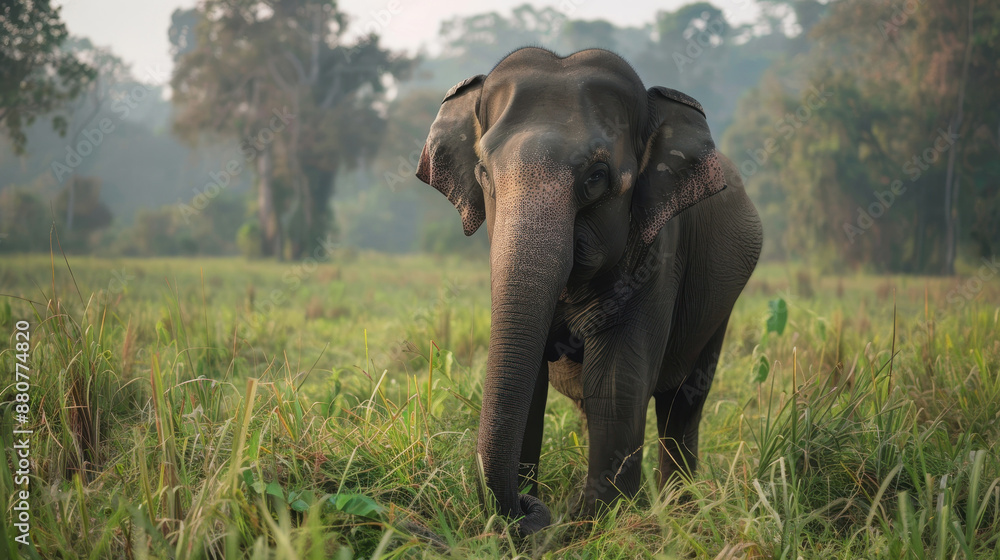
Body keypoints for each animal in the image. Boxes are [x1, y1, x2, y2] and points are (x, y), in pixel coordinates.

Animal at [415, 47, 762, 535]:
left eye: (597, 177)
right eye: (484, 172)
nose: (529, 507)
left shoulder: (658, 255)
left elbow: (615, 381)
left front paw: (602, 522)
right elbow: (533, 382)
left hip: (720, 305)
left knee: (684, 400)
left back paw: (681, 510)